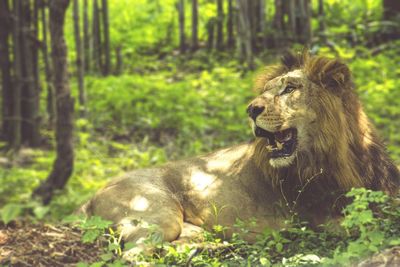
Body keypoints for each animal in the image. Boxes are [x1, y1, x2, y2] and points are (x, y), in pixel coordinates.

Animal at [79, 51, 400, 255]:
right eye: (266, 91)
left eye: (289, 89)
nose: (251, 109)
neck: (342, 155)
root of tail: (92, 196)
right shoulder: (322, 217)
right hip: (155, 213)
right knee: (132, 255)